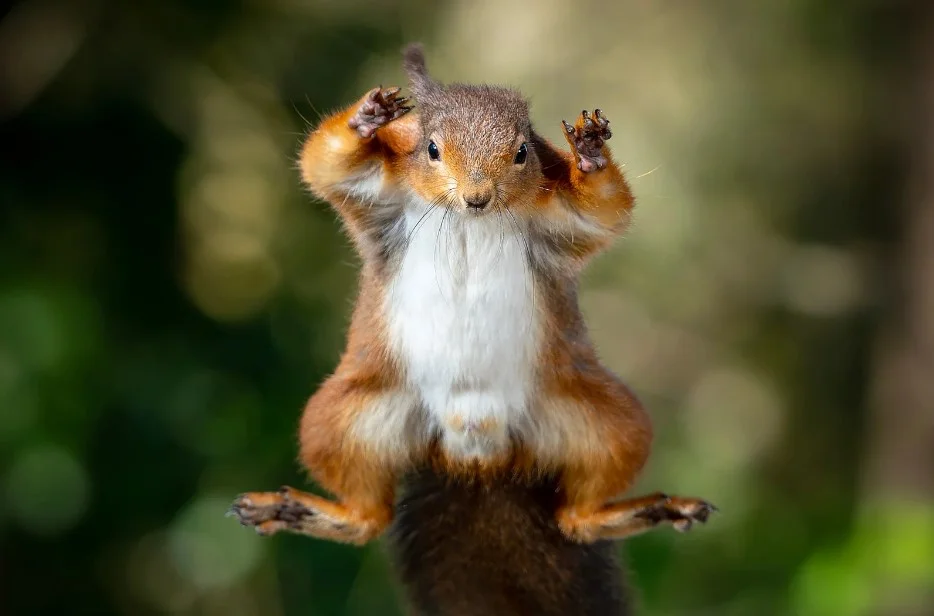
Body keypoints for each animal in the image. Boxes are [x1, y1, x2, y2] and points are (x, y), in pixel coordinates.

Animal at [229, 44, 716, 616]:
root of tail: (476, 460)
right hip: (344, 419)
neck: (468, 221)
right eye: (431, 148)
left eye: (523, 151)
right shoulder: (378, 195)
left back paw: (646, 510)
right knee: (369, 516)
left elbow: (604, 208)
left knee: (575, 516)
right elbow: (327, 162)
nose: (477, 197)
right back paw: (298, 510)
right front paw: (367, 116)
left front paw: (591, 152)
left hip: (602, 421)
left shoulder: (560, 216)